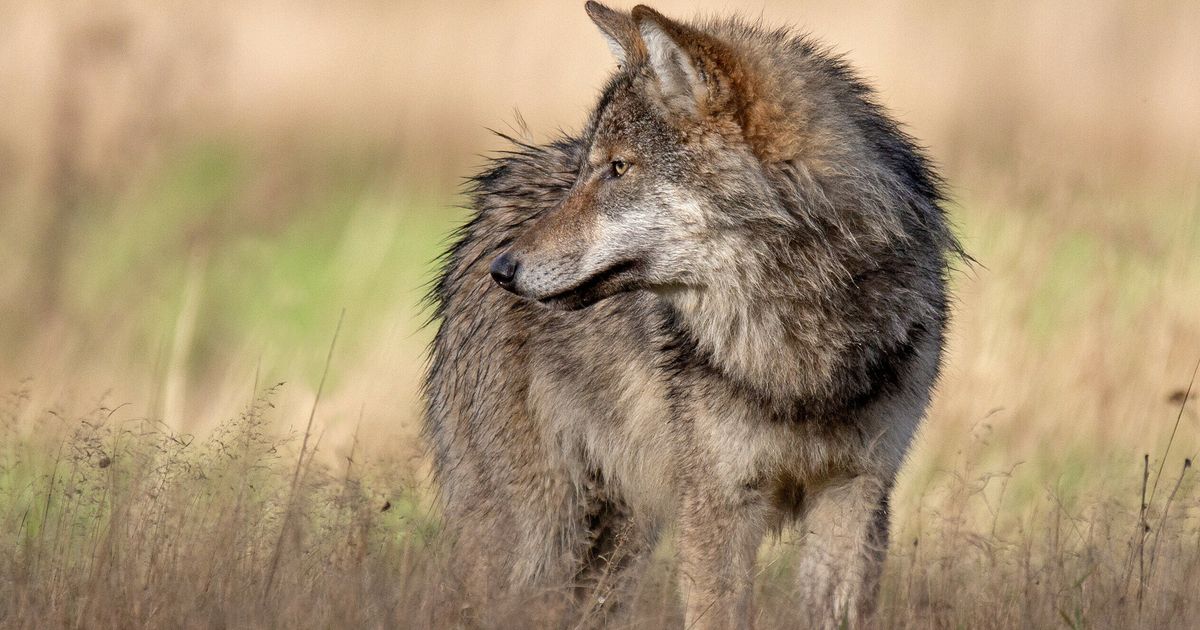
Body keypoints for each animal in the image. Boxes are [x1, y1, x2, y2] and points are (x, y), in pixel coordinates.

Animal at [424, 3, 961, 628]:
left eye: (618, 168)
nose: (504, 269)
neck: (798, 349)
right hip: (535, 538)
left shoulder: (858, 492)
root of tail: (486, 210)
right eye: (593, 168)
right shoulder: (718, 507)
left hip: (617, 547)